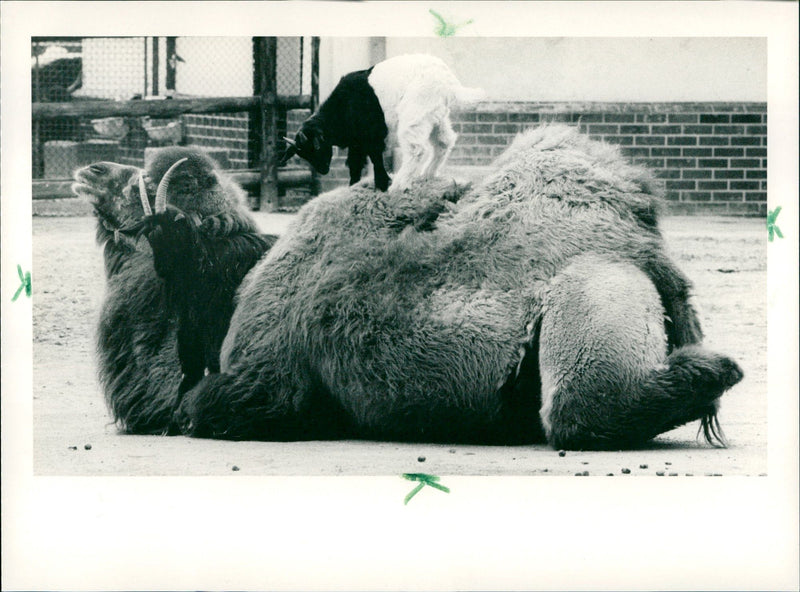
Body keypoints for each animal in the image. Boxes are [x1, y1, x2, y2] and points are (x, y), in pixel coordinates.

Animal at [278, 53, 484, 191]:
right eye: (303, 154)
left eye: (317, 147)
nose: (323, 170)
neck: (343, 106)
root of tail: (449, 83)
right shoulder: (357, 142)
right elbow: (355, 164)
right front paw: (354, 186)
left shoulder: (371, 135)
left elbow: (375, 159)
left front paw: (383, 184)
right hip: (436, 117)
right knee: (444, 142)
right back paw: (427, 174)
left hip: (414, 114)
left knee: (417, 150)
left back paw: (400, 184)